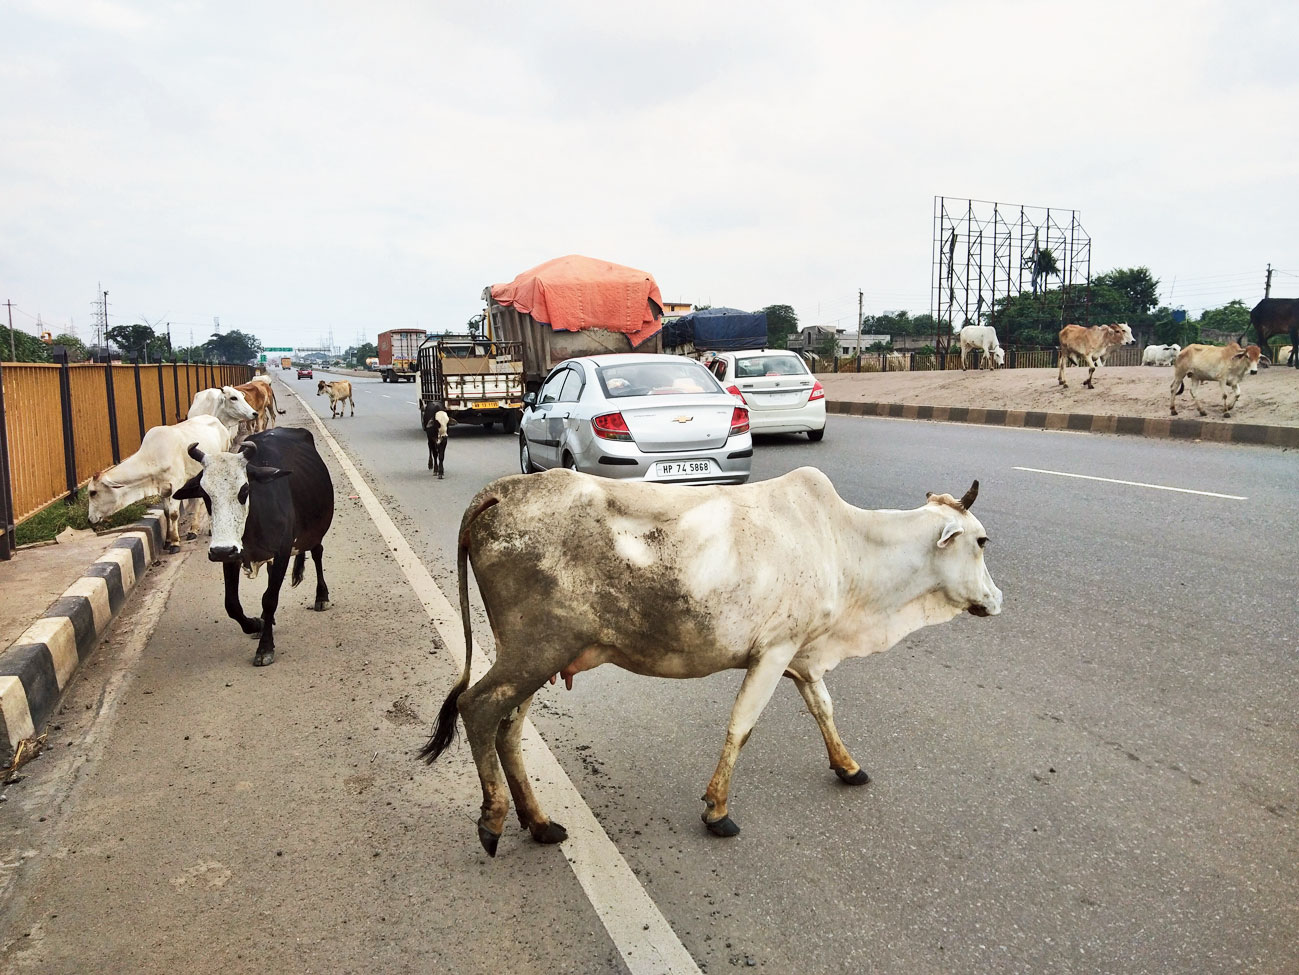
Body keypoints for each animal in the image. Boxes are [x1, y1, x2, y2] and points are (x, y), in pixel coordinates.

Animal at [87, 415, 233, 554]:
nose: (89, 519)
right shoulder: (163, 489)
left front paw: (175, 543)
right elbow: (167, 513)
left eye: (93, 492)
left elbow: (174, 514)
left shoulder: (176, 485)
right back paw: (193, 530)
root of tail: (217, 420)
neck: (153, 457)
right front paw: (167, 541)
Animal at [174, 428, 335, 667]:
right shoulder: (232, 555)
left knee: (317, 553)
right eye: (204, 494)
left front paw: (265, 648)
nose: (220, 550)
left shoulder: (282, 552)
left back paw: (321, 597)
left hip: (315, 531)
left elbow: (269, 599)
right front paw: (256, 624)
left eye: (244, 489)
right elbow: (232, 604)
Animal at [420, 468, 1002, 856]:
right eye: (981, 540)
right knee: (477, 709)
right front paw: (717, 810)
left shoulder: (802, 654)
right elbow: (741, 726)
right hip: (533, 652)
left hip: (536, 658)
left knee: (508, 729)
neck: (841, 542)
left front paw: (848, 766)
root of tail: (498, 492)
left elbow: (823, 708)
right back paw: (494, 820)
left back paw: (539, 823)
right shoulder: (775, 650)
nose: (996, 600)